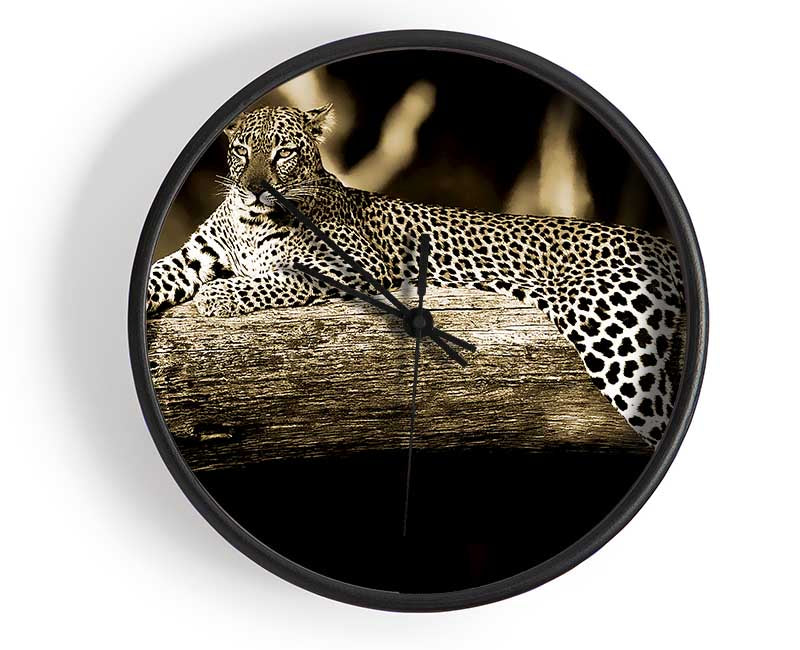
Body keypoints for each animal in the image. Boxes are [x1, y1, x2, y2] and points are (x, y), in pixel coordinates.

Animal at [147, 103, 685, 446]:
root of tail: (661, 245)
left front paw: (219, 295)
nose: (256, 187)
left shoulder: (357, 266)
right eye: (242, 151)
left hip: (613, 338)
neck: (251, 221)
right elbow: (157, 272)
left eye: (283, 153)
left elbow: (280, 276)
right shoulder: (195, 254)